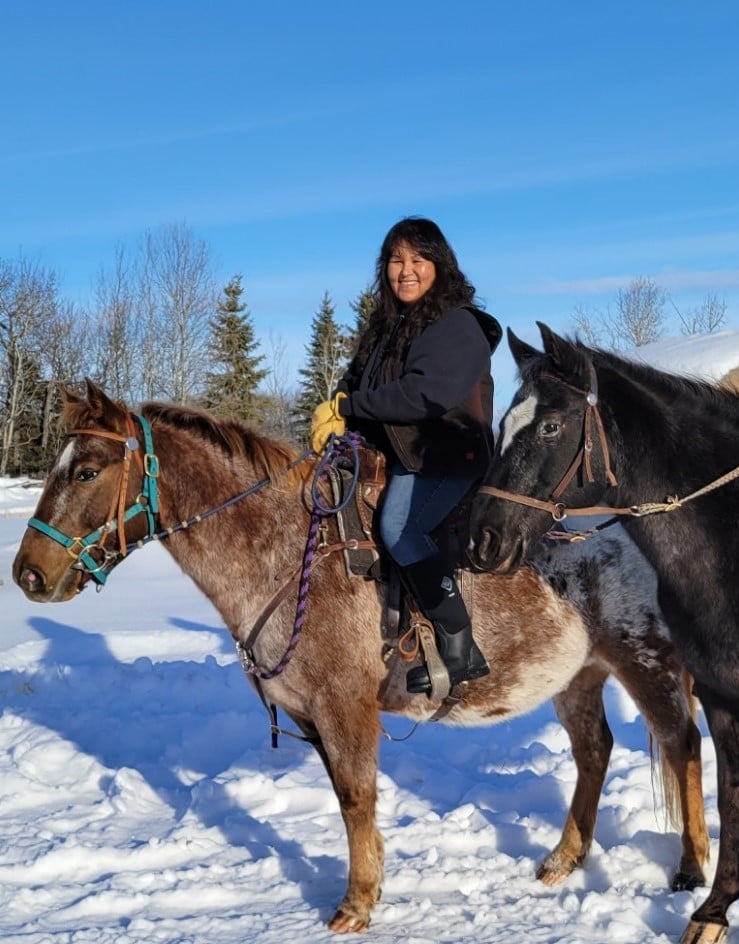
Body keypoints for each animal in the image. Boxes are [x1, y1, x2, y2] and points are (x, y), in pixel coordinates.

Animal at [12, 380, 708, 934]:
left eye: (86, 471)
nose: (28, 574)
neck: (289, 556)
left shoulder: (344, 708)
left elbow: (355, 797)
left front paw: (356, 904)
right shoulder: (309, 715)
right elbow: (350, 802)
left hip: (644, 660)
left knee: (683, 746)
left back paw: (692, 866)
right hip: (577, 673)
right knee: (594, 751)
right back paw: (565, 858)